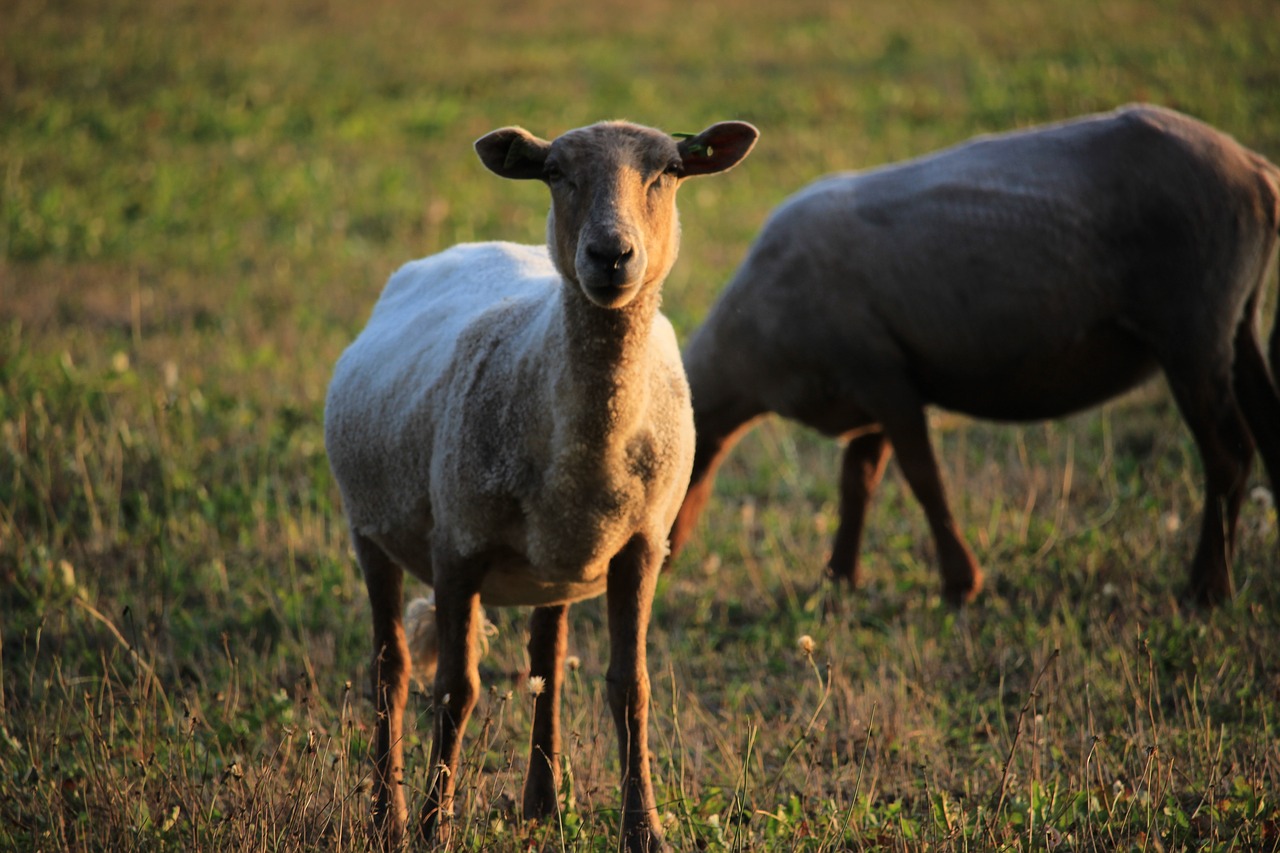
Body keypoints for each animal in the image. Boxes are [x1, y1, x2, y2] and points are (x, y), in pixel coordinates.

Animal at [325, 116, 752, 845]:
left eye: (668, 171)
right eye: (555, 173)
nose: (611, 254)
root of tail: (467, 246)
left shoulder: (642, 545)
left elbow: (630, 686)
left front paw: (645, 831)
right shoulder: (457, 545)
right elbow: (457, 689)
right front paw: (433, 828)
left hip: (553, 565)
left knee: (545, 664)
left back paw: (542, 803)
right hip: (370, 528)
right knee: (391, 669)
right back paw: (388, 816)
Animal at [670, 104, 1280, 604]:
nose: (662, 559)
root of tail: (1255, 171)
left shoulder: (881, 376)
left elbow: (923, 479)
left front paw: (961, 583)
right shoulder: (871, 383)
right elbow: (857, 481)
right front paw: (839, 578)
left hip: (1193, 324)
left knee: (1228, 455)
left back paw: (1207, 588)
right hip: (1238, 321)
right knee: (1266, 428)